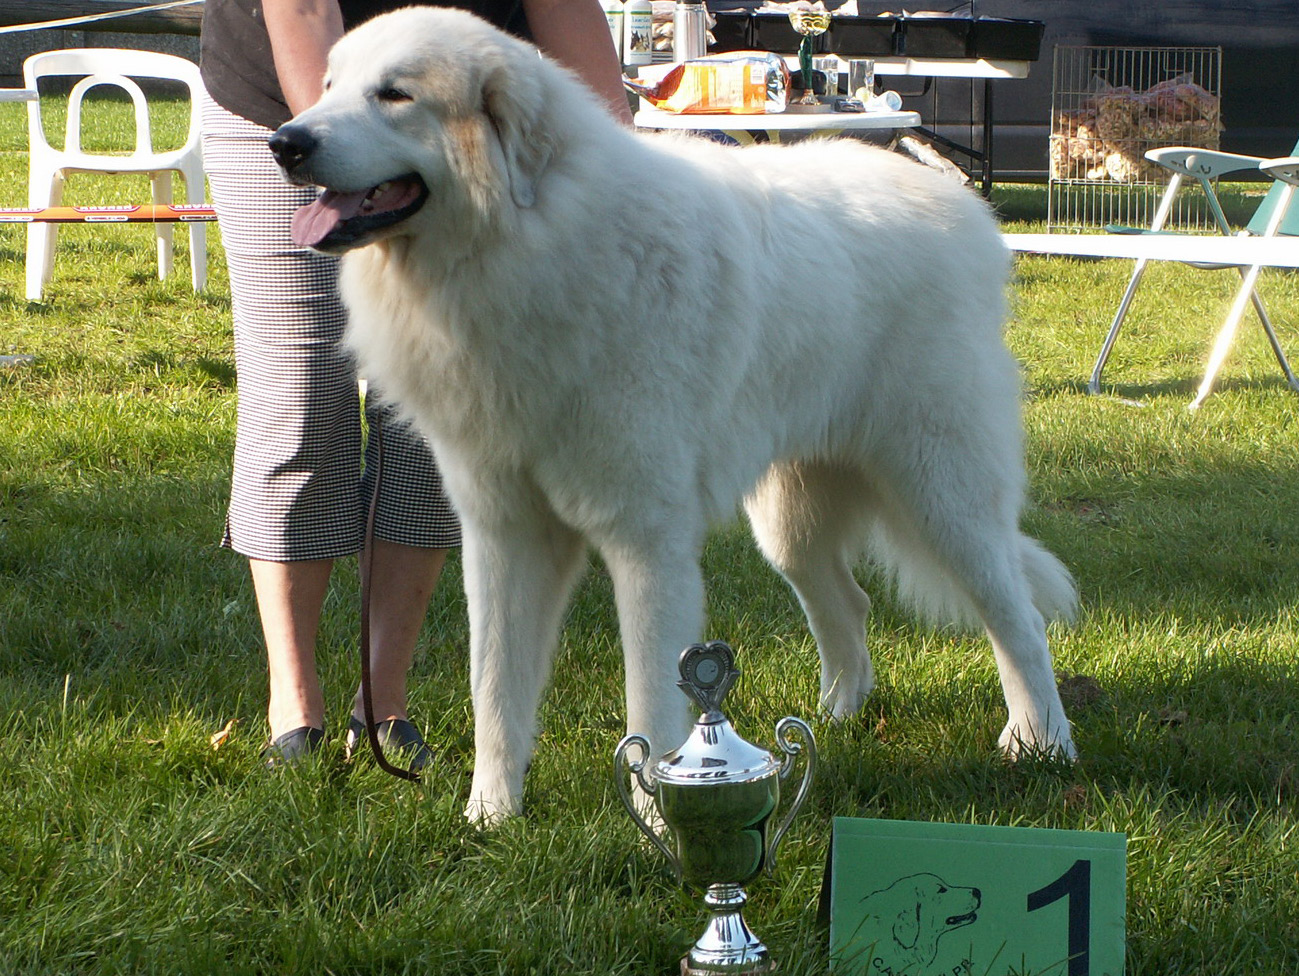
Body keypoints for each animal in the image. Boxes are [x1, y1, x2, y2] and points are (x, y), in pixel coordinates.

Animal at [271, 5, 1075, 826]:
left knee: (1017, 617)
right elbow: (494, 688)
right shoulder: (505, 534)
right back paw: (833, 722)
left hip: (943, 492)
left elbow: (653, 700)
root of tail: (962, 208)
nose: (285, 142)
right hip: (790, 521)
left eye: (394, 95)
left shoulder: (644, 539)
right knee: (846, 604)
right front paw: (490, 815)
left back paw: (1040, 744)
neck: (527, 244)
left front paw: (659, 815)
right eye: (330, 87)